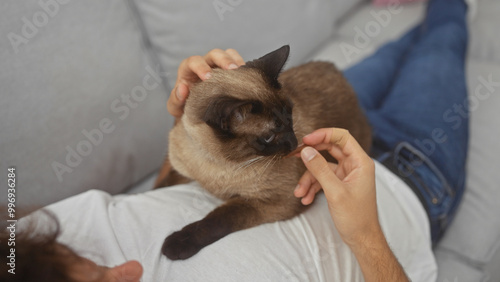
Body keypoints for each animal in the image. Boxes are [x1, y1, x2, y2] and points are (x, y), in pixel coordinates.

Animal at [156, 45, 372, 260]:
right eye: (269, 137)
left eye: (290, 117)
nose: (294, 143)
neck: (218, 164)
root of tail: (337, 71)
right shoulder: (180, 169)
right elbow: (163, 184)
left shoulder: (275, 201)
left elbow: (219, 219)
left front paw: (176, 244)